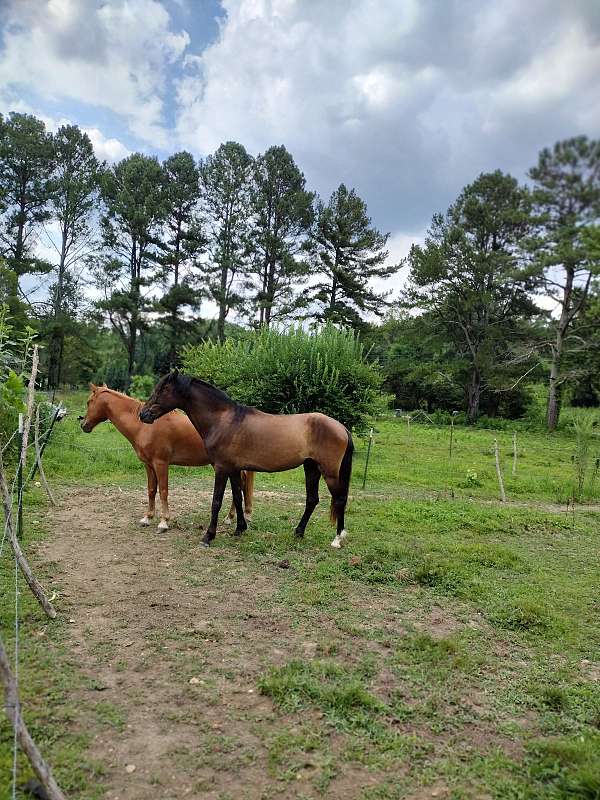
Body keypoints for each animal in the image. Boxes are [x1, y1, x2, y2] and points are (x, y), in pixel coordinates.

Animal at [79, 386, 253, 532]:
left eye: (89, 402)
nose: (83, 424)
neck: (144, 426)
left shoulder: (161, 463)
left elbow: (163, 491)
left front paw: (163, 522)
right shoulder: (149, 465)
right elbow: (151, 490)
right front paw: (147, 518)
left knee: (240, 486)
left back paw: (233, 518)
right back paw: (232, 517)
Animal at [139, 370, 352, 548]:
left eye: (163, 389)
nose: (143, 414)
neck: (224, 421)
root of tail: (341, 428)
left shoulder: (221, 468)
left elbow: (216, 501)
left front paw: (208, 536)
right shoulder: (233, 468)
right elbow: (237, 496)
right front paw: (240, 528)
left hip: (329, 473)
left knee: (340, 499)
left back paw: (337, 539)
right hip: (311, 468)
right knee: (312, 499)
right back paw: (298, 532)